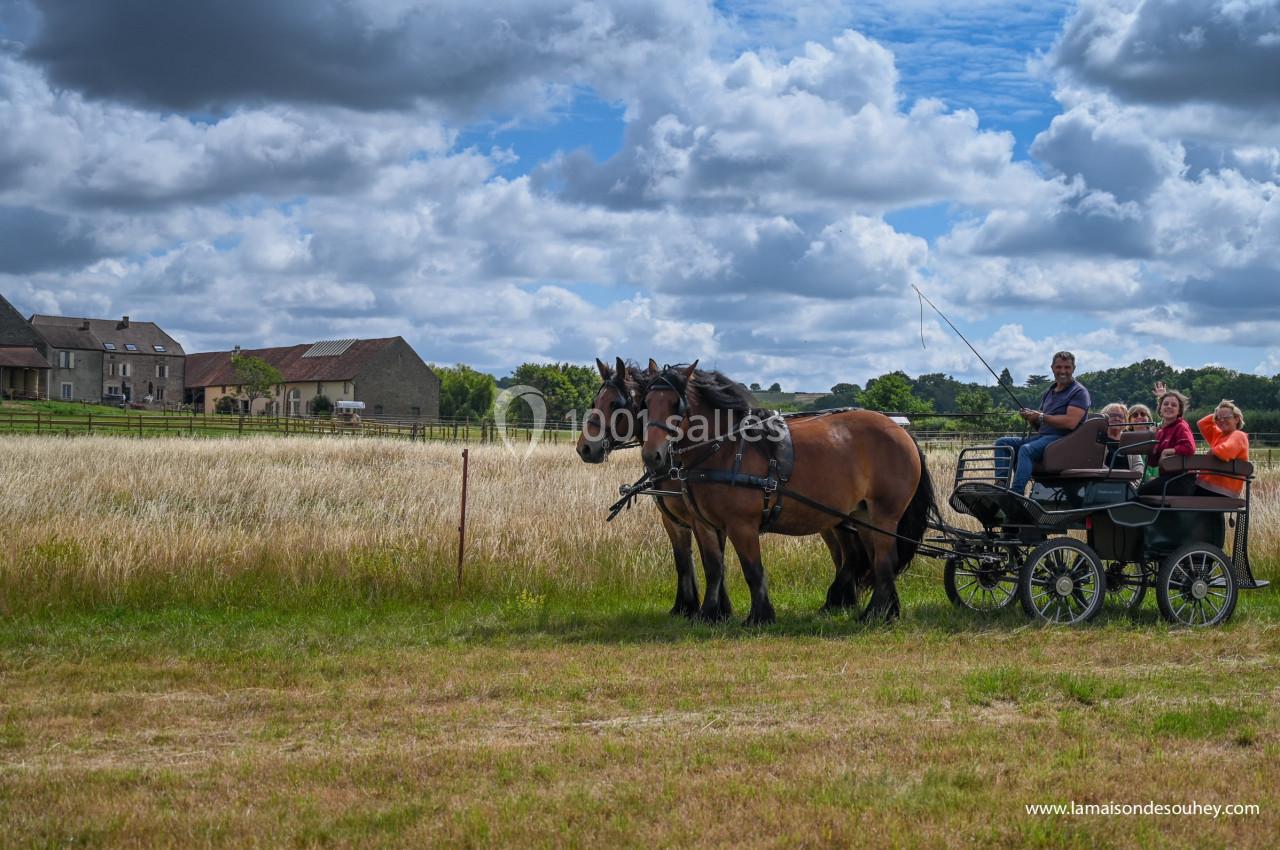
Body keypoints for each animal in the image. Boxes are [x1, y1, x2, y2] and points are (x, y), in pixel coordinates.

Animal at [639, 361, 935, 624]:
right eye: (646, 403)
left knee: (884, 560)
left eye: (675, 405)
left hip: (885, 513)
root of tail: (903, 433)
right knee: (876, 560)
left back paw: (873, 614)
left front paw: (760, 617)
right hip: (863, 516)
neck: (723, 449)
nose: (652, 455)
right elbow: (713, 568)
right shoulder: (704, 524)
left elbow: (752, 569)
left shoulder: (741, 524)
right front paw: (710, 615)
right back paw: (888, 611)